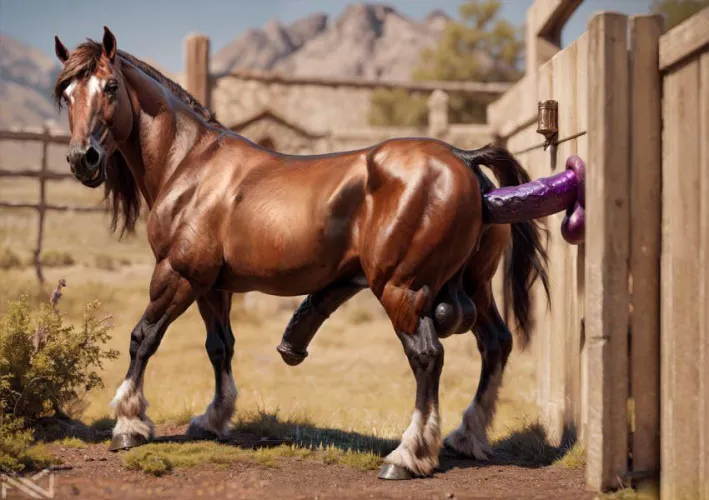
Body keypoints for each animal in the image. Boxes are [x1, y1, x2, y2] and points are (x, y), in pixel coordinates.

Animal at [53, 27, 549, 480]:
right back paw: (468, 435)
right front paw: (213, 418)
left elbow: (143, 338)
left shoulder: (177, 274)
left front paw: (129, 423)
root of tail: (463, 159)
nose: (83, 159)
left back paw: (408, 455)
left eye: (110, 86)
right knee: (495, 343)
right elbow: (220, 346)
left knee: (427, 357)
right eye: (67, 94)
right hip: (475, 286)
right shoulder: (213, 285)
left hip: (402, 290)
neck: (190, 164)